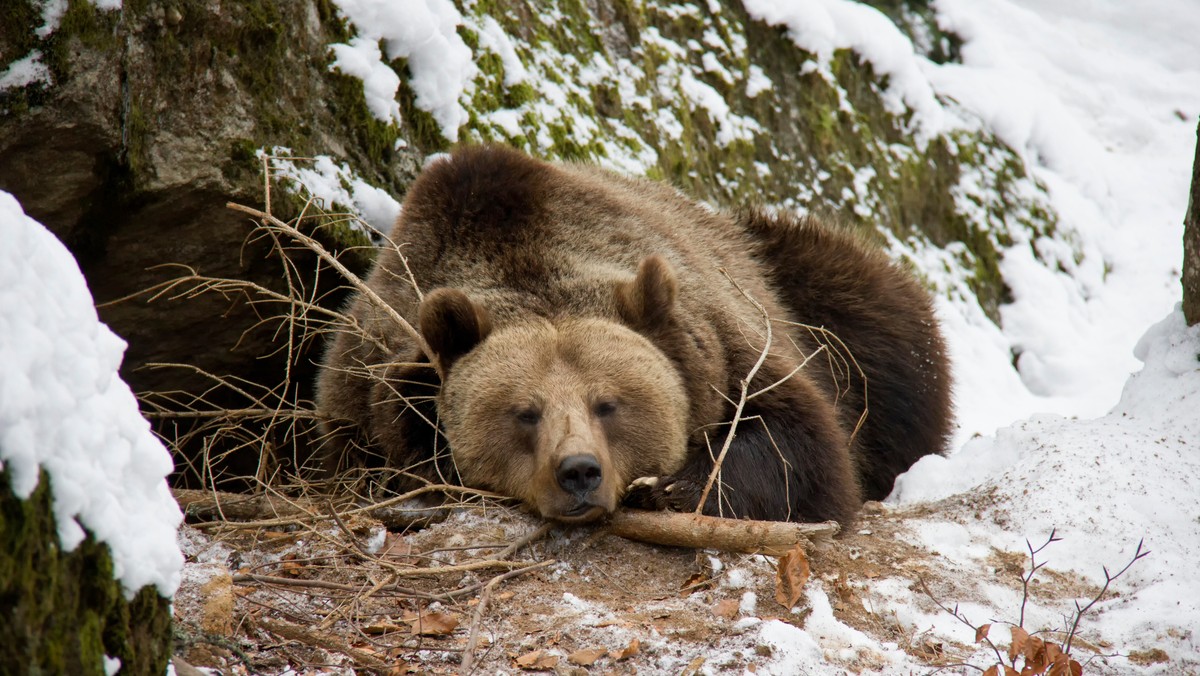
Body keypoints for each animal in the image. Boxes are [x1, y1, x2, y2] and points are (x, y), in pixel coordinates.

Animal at [314, 145, 950, 528]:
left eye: (609, 404)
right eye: (525, 412)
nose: (578, 471)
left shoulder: (728, 342)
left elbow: (799, 445)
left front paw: (671, 487)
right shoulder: (364, 384)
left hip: (814, 293)